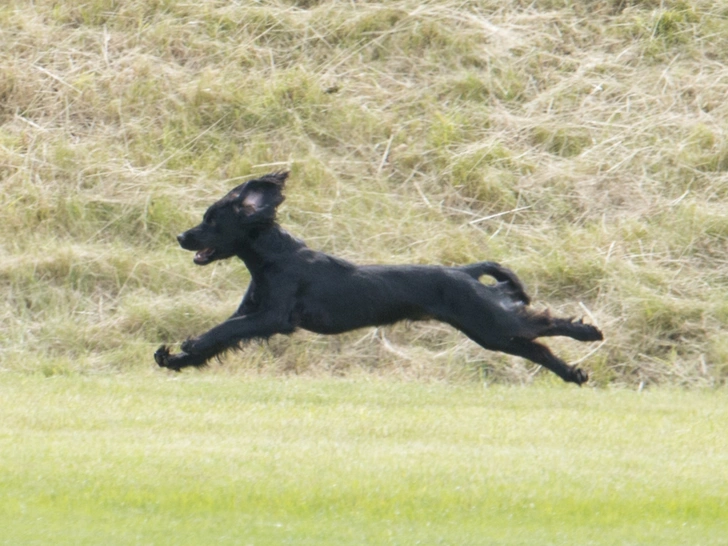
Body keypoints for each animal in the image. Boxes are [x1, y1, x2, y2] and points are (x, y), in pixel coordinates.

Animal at [155, 171, 604, 382]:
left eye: (212, 221)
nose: (180, 237)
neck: (273, 258)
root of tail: (464, 271)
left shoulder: (272, 317)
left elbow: (221, 332)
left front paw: (185, 347)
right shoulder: (251, 312)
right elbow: (221, 336)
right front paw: (174, 358)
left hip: (490, 321)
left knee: (542, 324)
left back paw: (589, 333)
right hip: (489, 332)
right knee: (536, 347)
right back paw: (574, 374)